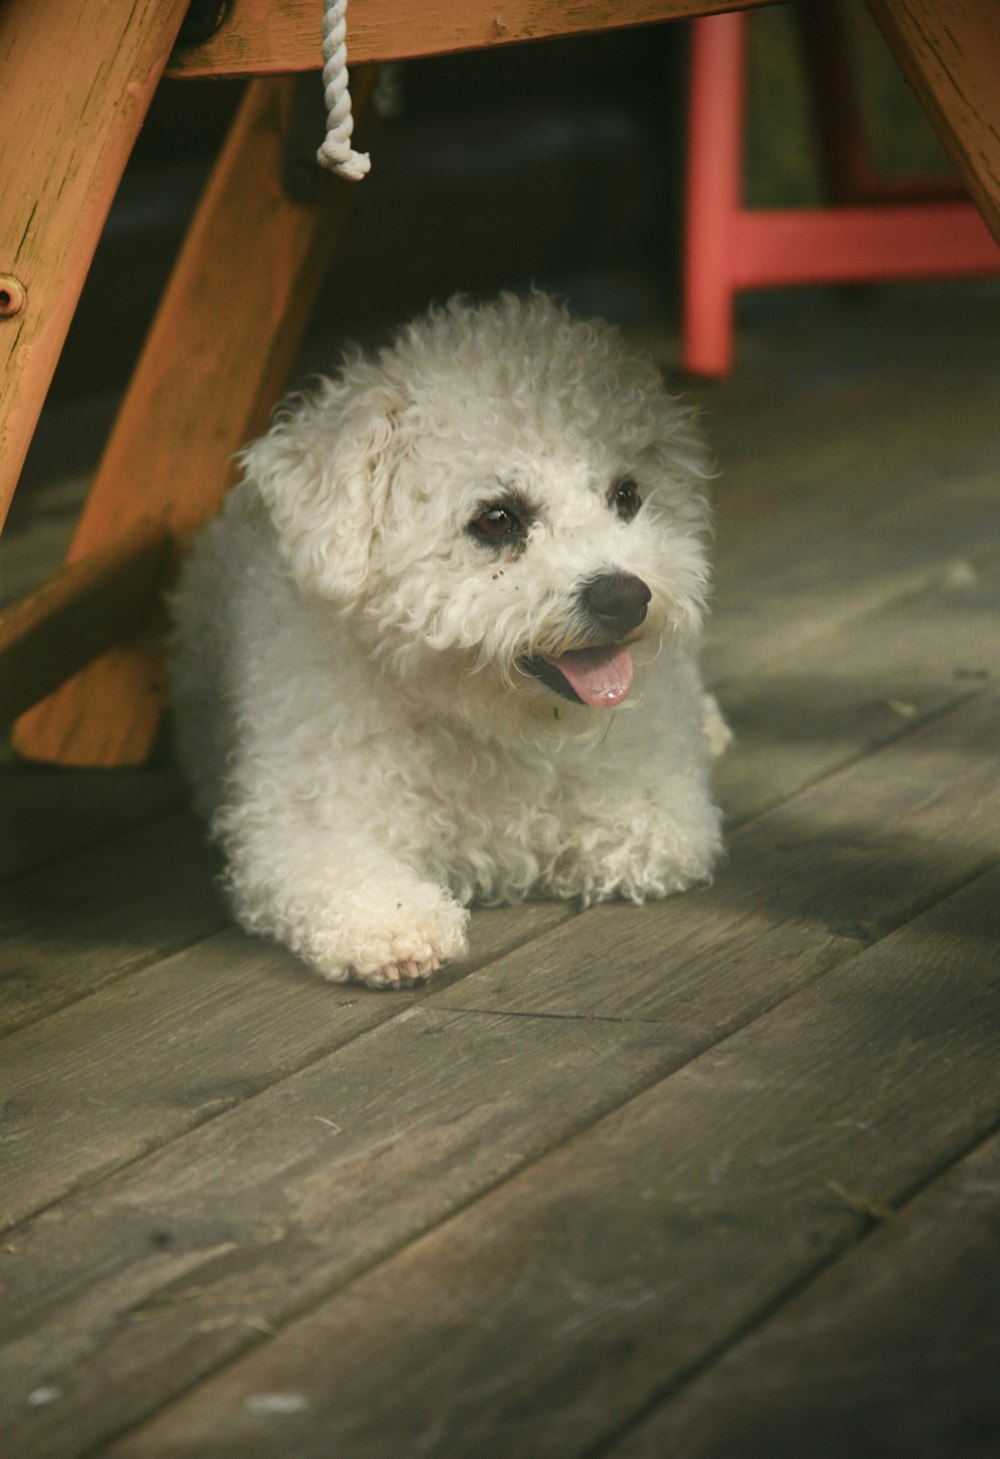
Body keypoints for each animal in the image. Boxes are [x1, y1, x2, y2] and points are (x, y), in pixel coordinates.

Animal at [165, 290, 724, 986]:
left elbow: (628, 836)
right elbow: (346, 880)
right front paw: (396, 924)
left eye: (627, 495)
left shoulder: (662, 813)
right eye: (497, 518)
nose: (625, 596)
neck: (479, 720)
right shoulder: (298, 821)